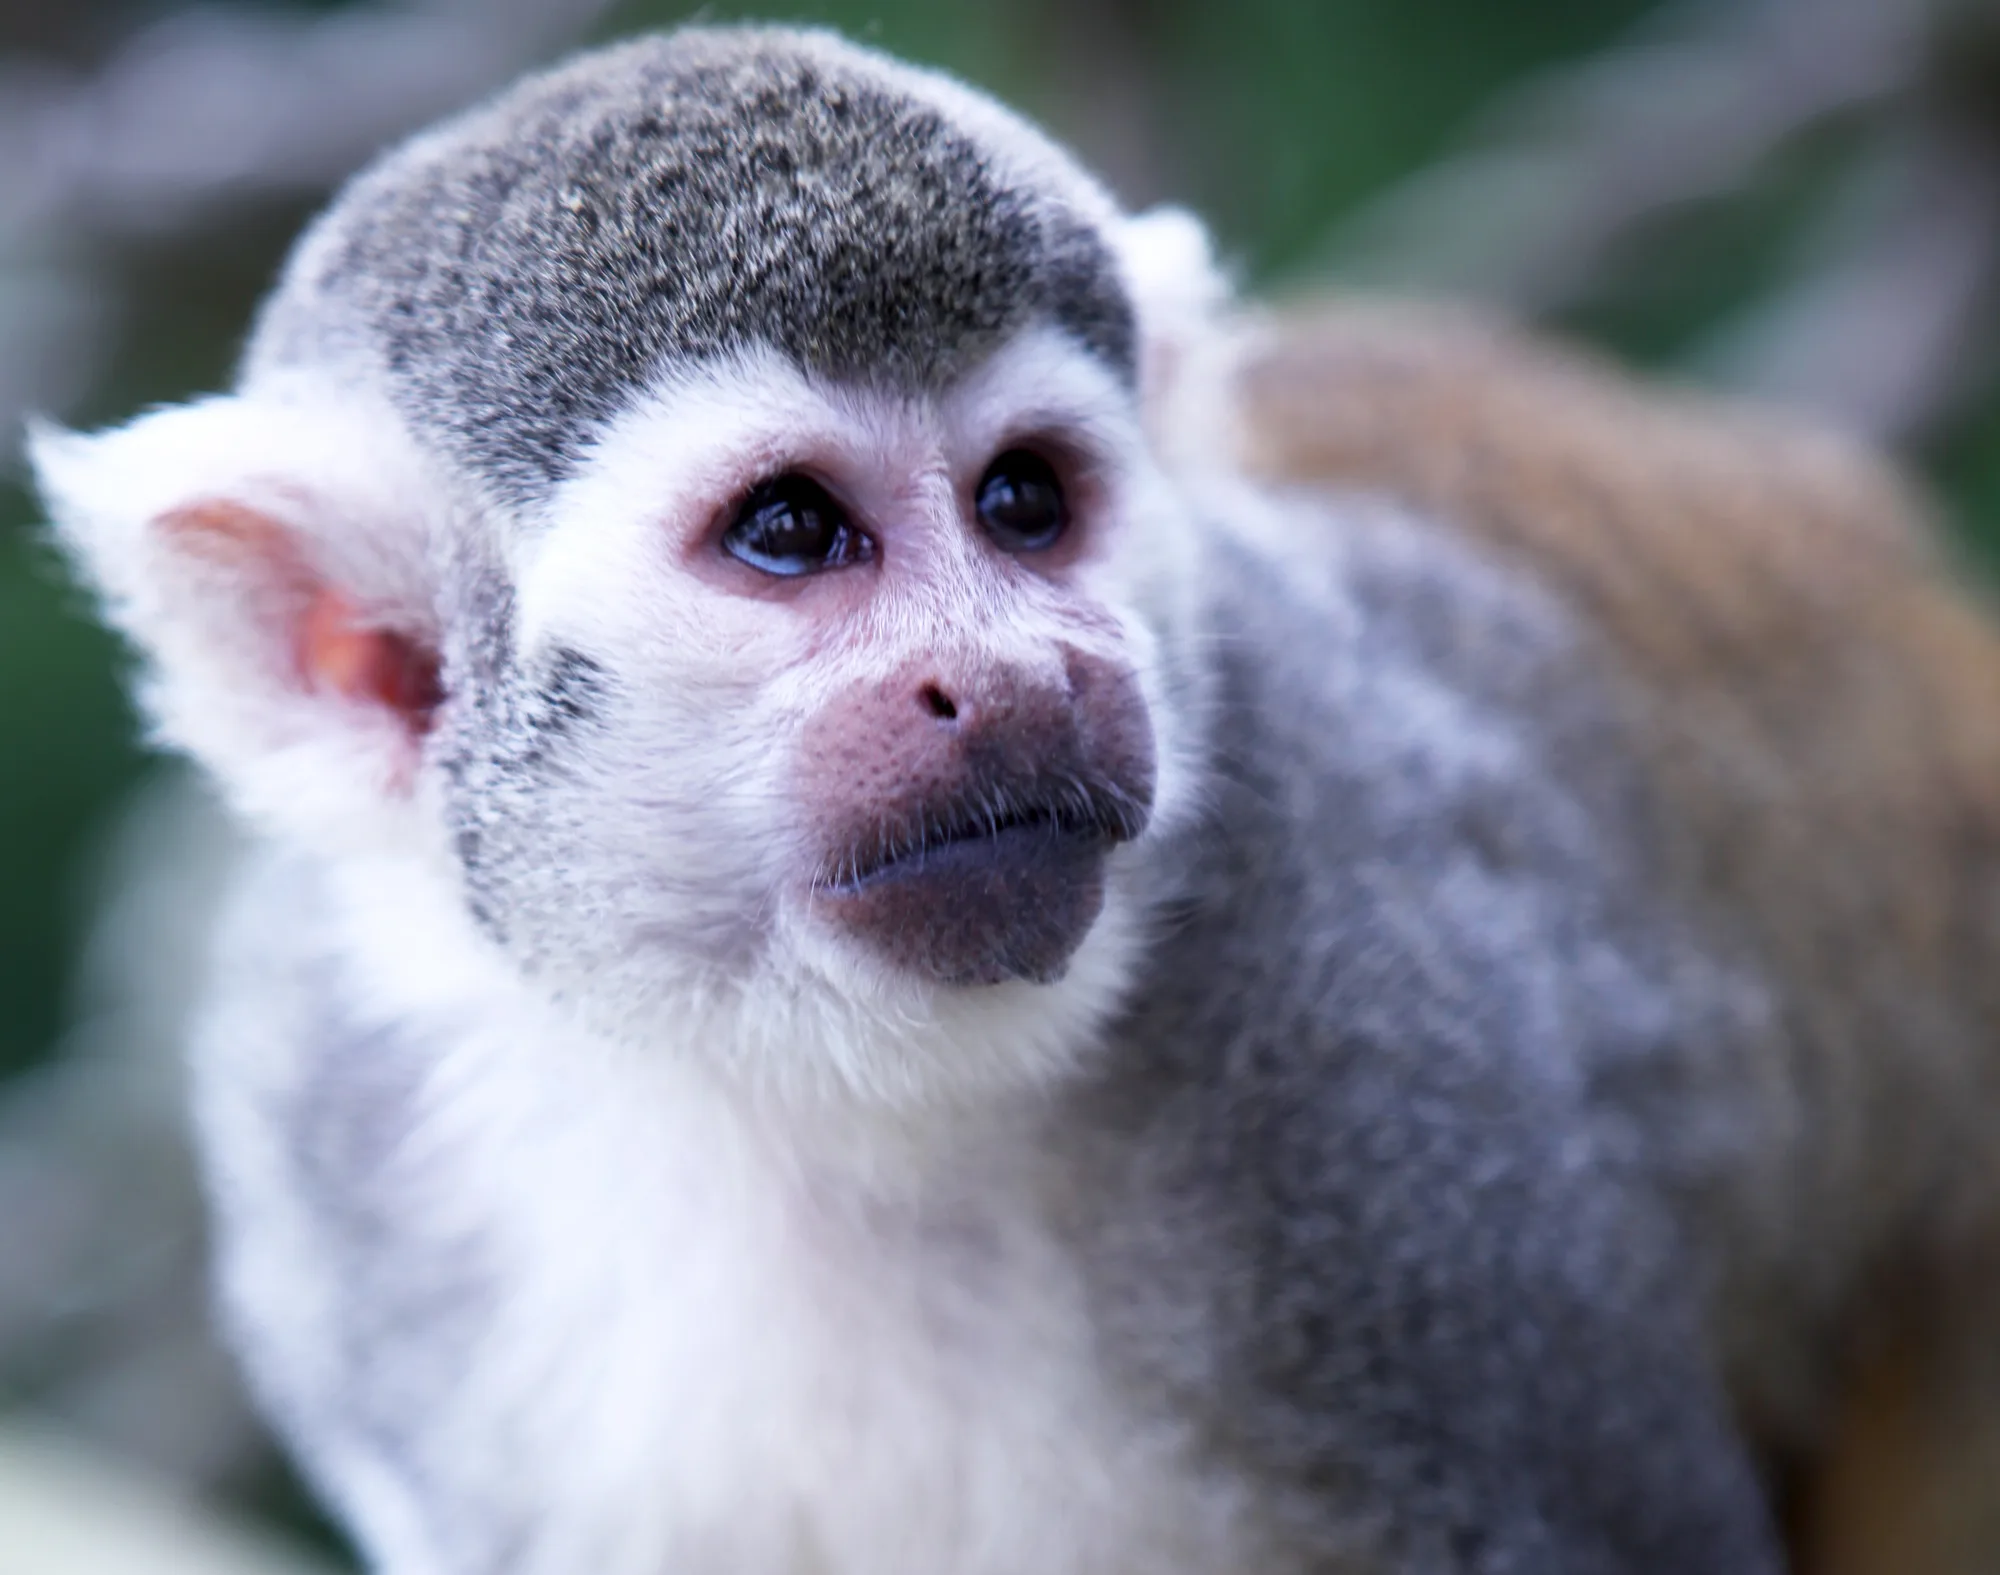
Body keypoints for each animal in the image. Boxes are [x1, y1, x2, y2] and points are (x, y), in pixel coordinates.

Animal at [27, 21, 2000, 1575]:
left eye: (1026, 503)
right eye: (790, 531)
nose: (1027, 676)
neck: (794, 1092)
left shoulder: (1381, 1055)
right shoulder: (328, 1137)